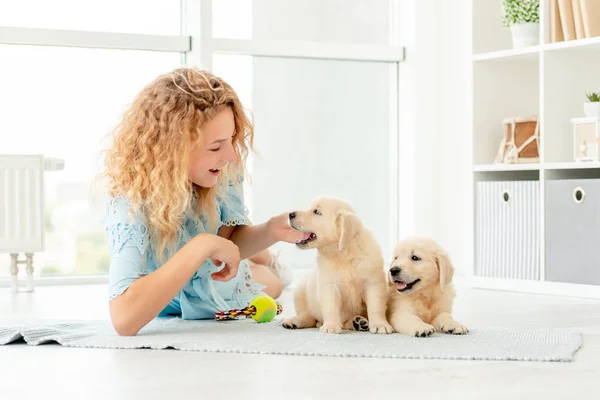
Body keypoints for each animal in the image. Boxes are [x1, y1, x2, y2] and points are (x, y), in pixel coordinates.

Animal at [282, 197, 394, 334]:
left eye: (317, 212)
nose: (290, 214)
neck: (343, 255)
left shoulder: (373, 283)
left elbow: (375, 306)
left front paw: (380, 325)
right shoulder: (329, 284)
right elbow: (330, 306)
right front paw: (330, 326)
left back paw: (358, 322)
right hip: (301, 290)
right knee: (308, 316)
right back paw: (293, 321)